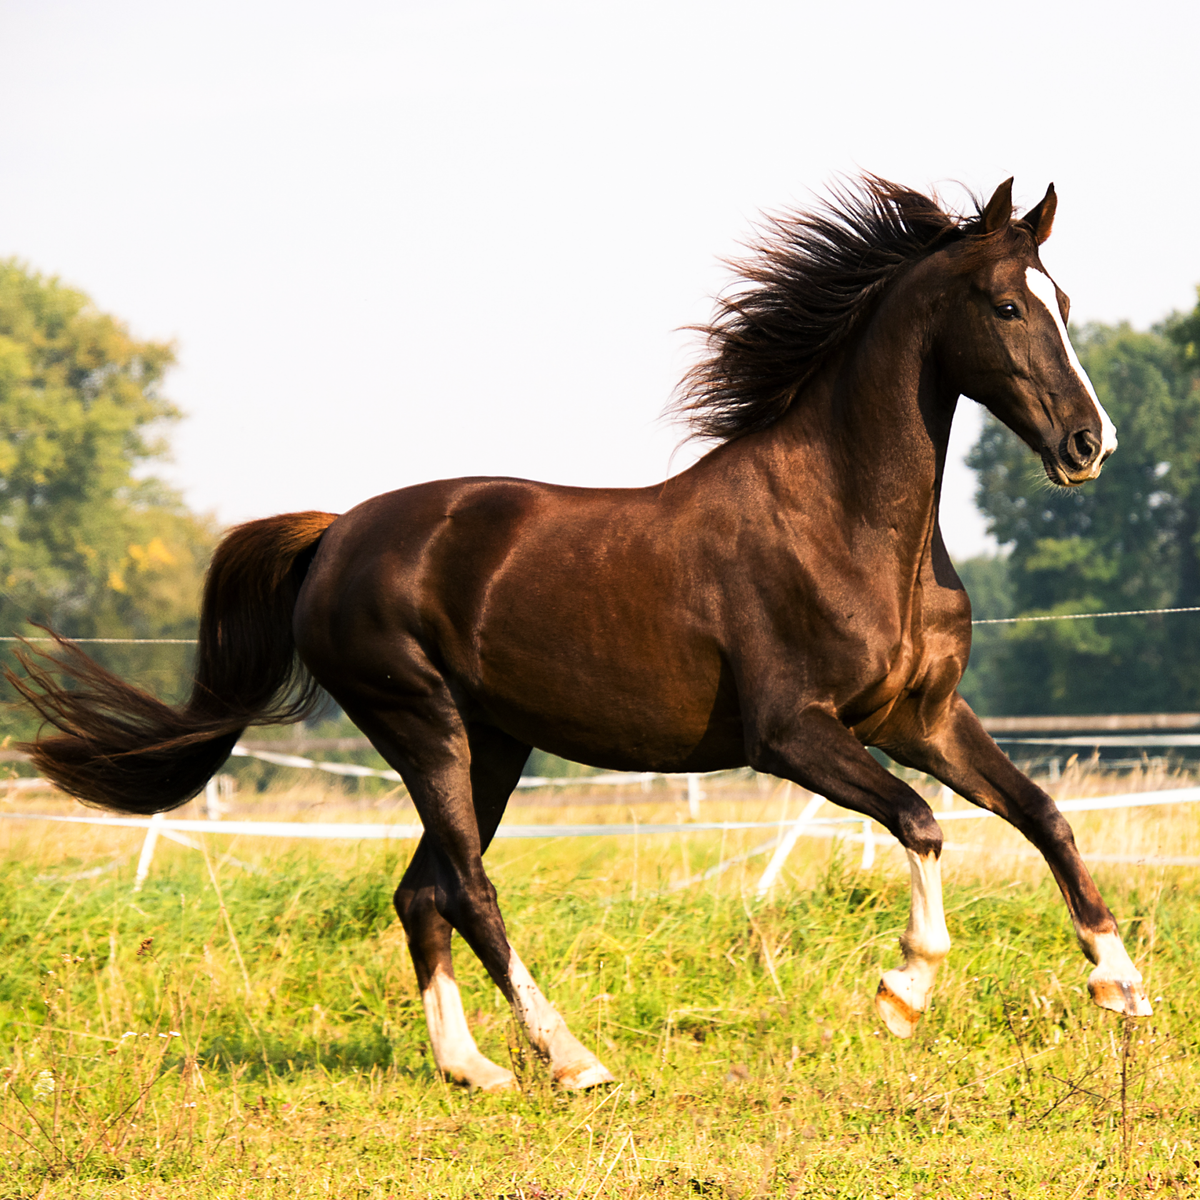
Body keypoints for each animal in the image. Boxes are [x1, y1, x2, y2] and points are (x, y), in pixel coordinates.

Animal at [12, 176, 1151, 1093]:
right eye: (1006, 304)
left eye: (1062, 302)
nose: (1088, 445)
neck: (846, 524)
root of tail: (335, 534)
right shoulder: (793, 734)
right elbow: (921, 823)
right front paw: (904, 991)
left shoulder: (922, 717)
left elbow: (1043, 813)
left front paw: (1122, 984)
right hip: (421, 724)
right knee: (467, 888)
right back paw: (571, 1059)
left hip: (494, 743)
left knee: (421, 891)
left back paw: (472, 1069)